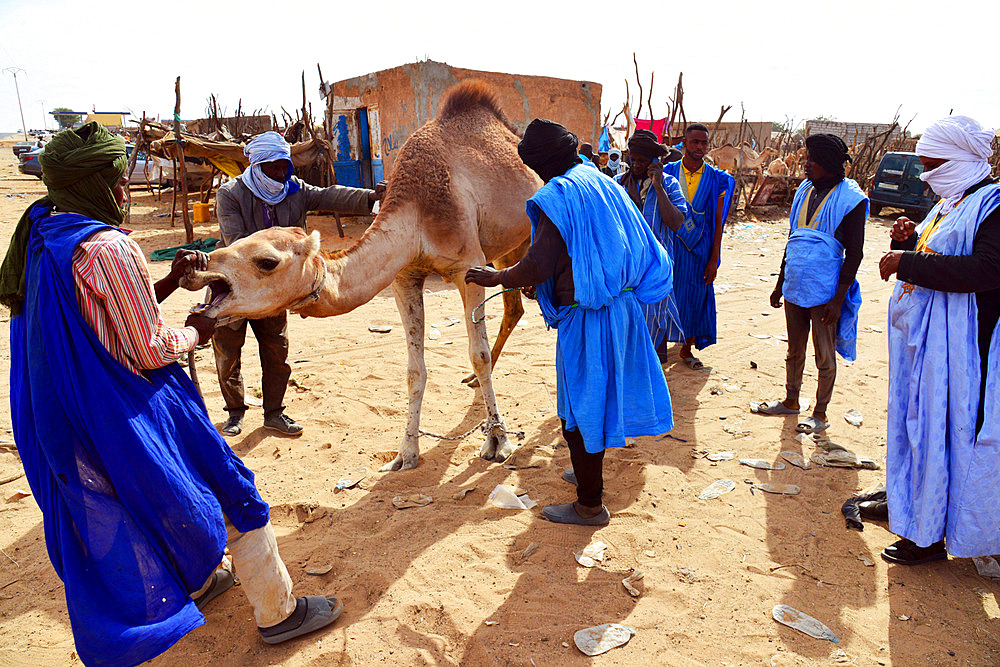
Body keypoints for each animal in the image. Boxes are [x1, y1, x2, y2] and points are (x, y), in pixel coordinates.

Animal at [180, 81, 540, 472]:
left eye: (266, 261)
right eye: (236, 240)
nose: (197, 266)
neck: (419, 214)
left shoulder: (467, 269)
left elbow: (479, 353)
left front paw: (497, 440)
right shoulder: (404, 277)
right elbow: (414, 370)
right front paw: (405, 454)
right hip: (504, 248)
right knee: (514, 307)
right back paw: (475, 381)